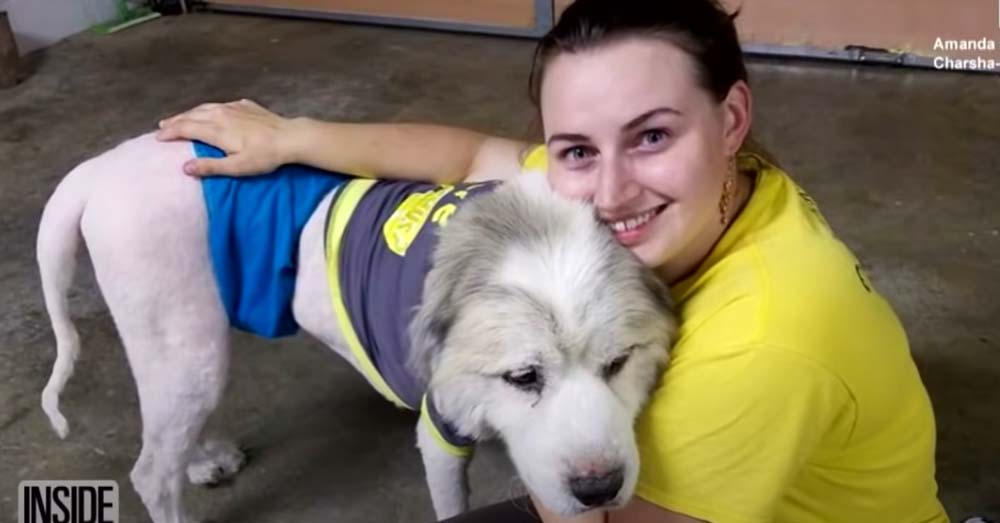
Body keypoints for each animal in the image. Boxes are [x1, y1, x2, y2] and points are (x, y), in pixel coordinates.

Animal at [35, 133, 675, 522]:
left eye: (619, 364)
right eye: (524, 378)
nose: (597, 489)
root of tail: (96, 171)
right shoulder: (440, 428)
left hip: (192, 345)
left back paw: (202, 459)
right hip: (186, 347)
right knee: (151, 473)